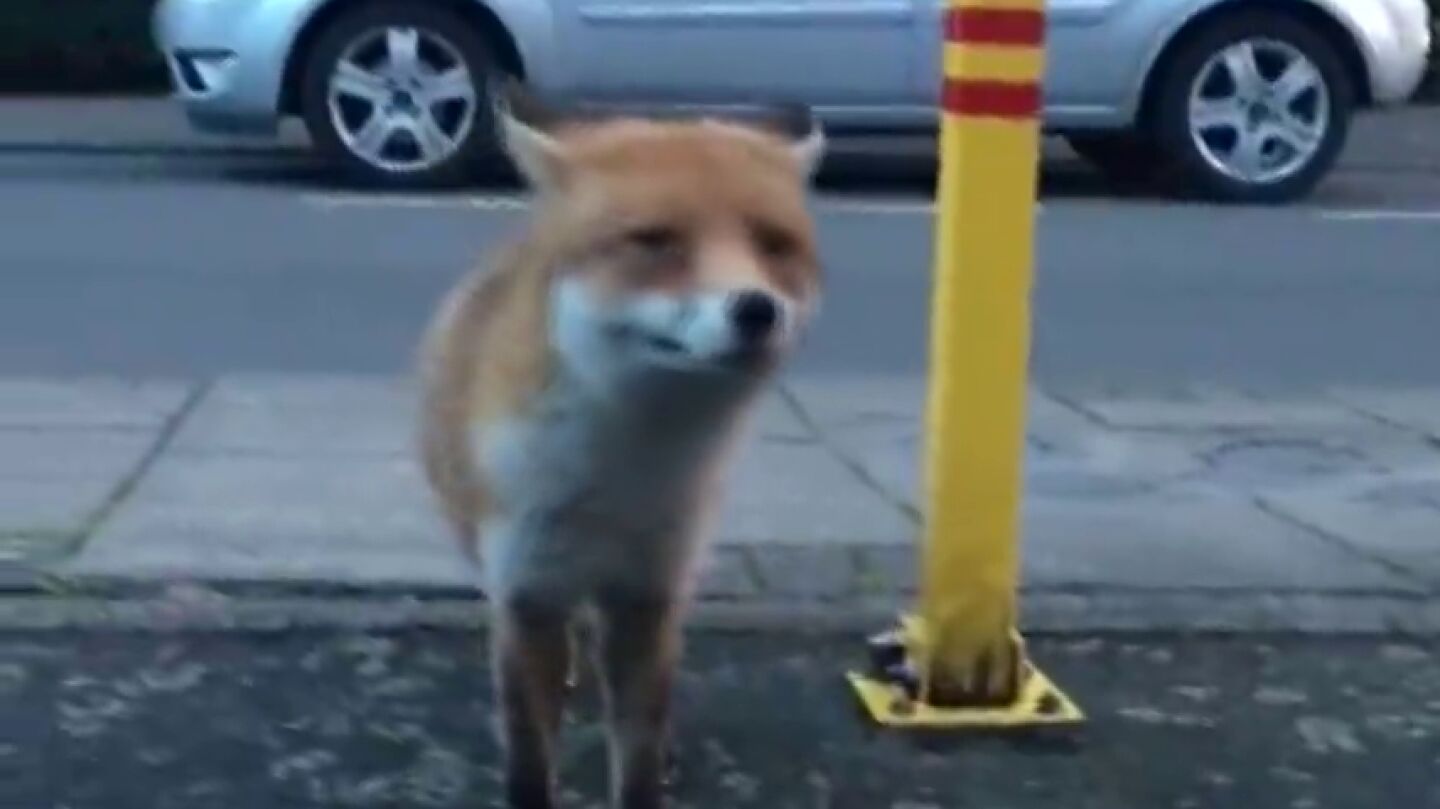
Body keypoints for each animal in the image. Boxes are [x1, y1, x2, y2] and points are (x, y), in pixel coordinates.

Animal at [415, 82, 826, 809]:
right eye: (655, 241)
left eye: (773, 243)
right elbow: (529, 759)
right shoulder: (526, 592)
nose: (757, 310)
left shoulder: (649, 594)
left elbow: (638, 755)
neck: (625, 469)